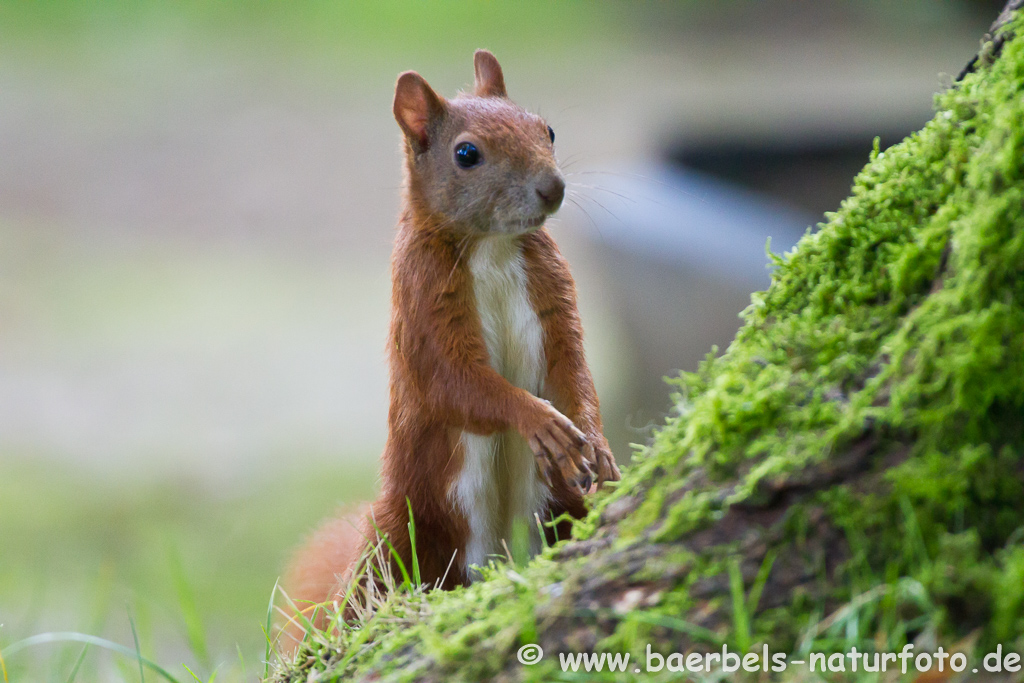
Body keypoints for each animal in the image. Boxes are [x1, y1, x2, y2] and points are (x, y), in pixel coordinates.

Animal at [280, 49, 618, 643]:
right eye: (466, 154)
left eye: (548, 130)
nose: (552, 188)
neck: (493, 247)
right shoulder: (420, 302)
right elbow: (456, 384)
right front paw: (538, 419)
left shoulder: (554, 293)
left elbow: (572, 367)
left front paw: (593, 439)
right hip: (400, 530)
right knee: (370, 591)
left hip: (562, 505)